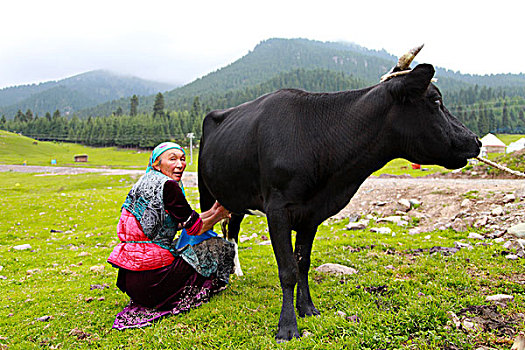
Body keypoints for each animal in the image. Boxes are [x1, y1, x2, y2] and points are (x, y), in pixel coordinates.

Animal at [195, 60, 478, 342]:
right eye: (436, 100)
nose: (475, 140)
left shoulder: (310, 214)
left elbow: (303, 263)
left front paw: (307, 309)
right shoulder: (278, 210)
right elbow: (288, 270)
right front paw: (287, 327)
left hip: (235, 198)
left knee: (232, 228)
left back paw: (236, 270)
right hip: (206, 191)